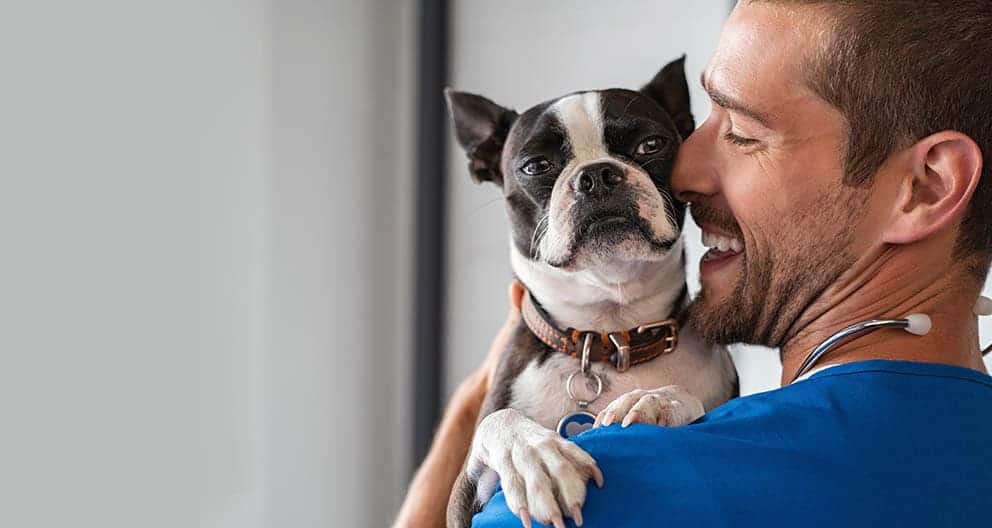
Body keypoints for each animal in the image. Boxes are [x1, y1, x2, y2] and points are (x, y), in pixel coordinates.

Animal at [446, 57, 740, 528]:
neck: (608, 333)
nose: (597, 175)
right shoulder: (460, 500)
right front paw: (536, 458)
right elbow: (499, 421)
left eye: (651, 145)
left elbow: (686, 398)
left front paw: (656, 401)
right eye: (535, 166)